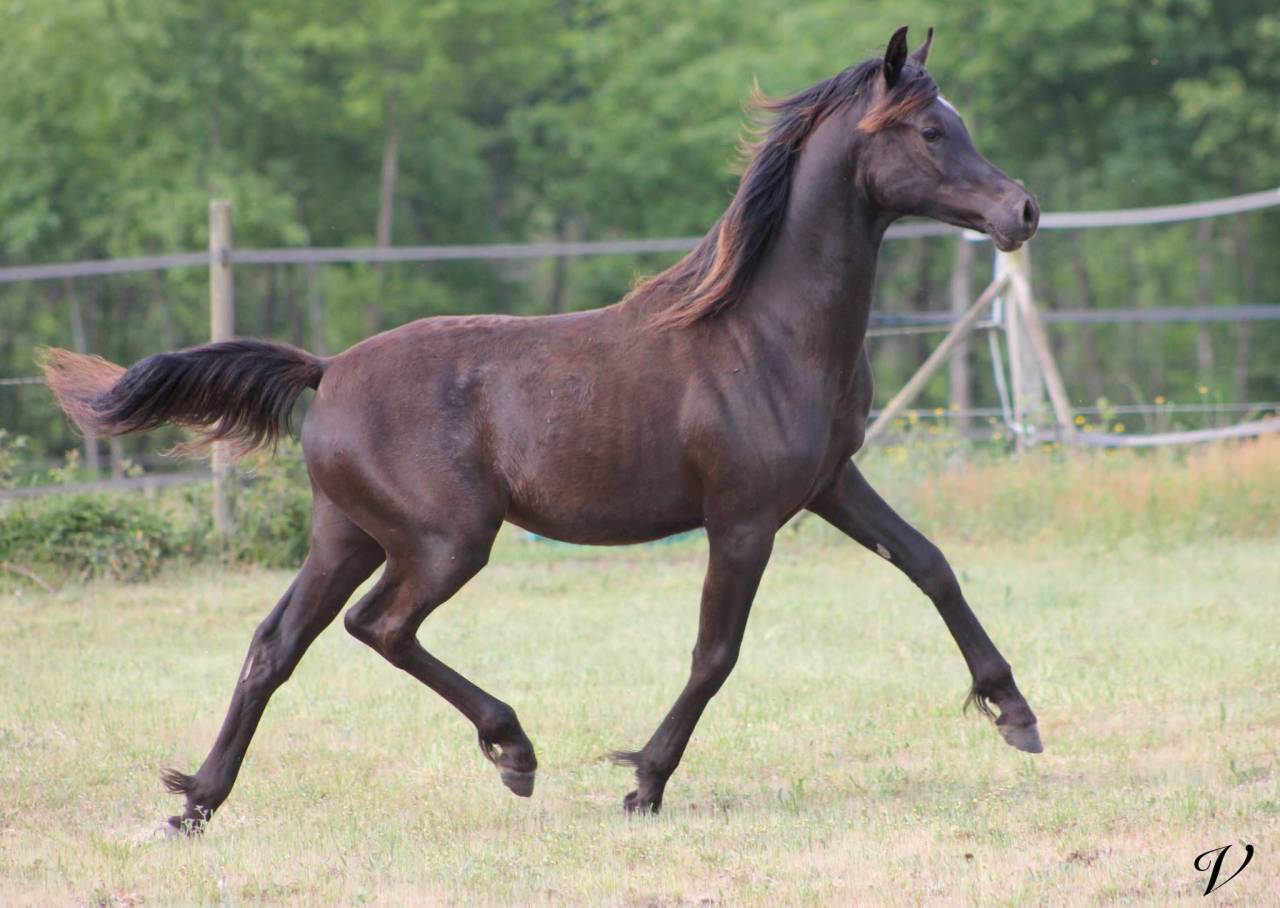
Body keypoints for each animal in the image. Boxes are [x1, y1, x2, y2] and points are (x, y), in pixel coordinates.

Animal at [43, 26, 1042, 833]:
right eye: (929, 130)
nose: (1021, 211)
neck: (765, 334)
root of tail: (327, 372)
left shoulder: (831, 483)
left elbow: (930, 565)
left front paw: (1015, 713)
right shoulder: (745, 519)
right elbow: (716, 653)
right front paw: (644, 782)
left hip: (348, 534)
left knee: (273, 647)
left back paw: (196, 804)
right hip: (447, 540)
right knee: (379, 626)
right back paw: (513, 749)